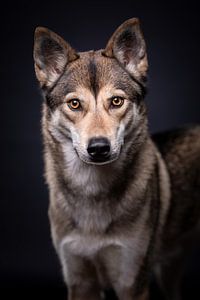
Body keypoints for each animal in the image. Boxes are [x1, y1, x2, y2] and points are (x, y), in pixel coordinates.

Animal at [33, 17, 200, 298]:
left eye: (116, 101)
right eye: (75, 104)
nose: (99, 147)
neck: (92, 190)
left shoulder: (132, 282)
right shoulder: (79, 282)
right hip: (169, 269)